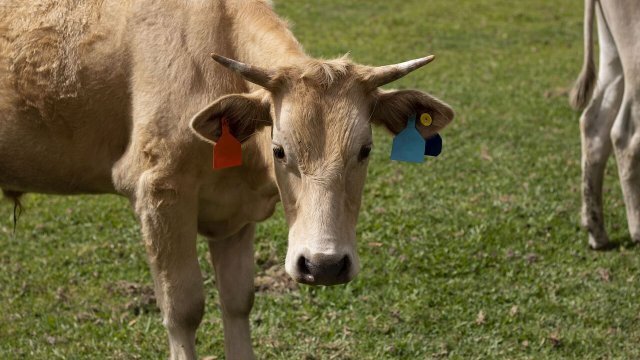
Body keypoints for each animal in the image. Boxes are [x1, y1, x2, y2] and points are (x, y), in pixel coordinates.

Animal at [0, 1, 452, 358]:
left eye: (365, 149)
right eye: (280, 149)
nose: (323, 264)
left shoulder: (236, 215)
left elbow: (238, 302)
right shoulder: (159, 194)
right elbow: (182, 310)